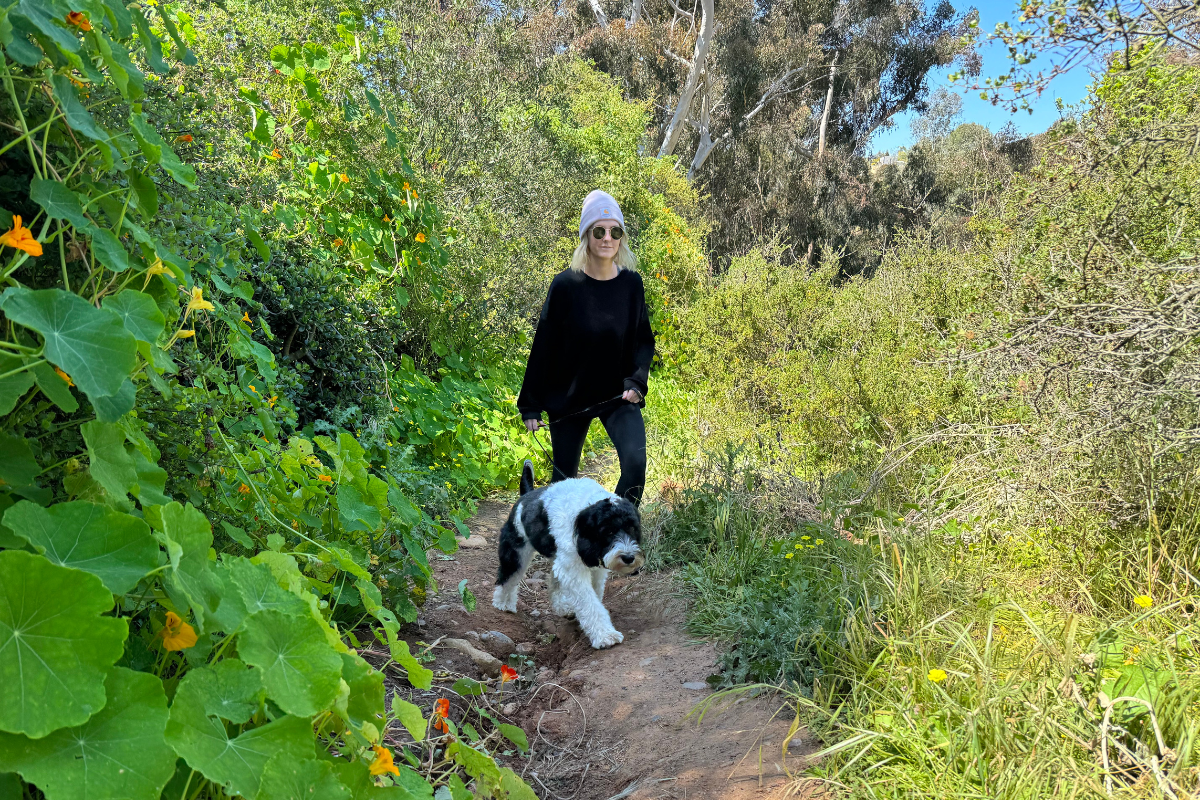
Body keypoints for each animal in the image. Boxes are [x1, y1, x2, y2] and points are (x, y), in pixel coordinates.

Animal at [494, 455, 648, 652]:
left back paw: (562, 607)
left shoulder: (593, 567)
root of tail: (525, 496)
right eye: (609, 532)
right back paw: (503, 603)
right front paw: (605, 635)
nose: (628, 558)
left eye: (632, 529)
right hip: (516, 553)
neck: (584, 512)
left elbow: (594, 595)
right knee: (507, 577)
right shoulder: (574, 569)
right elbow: (589, 602)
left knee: (553, 580)